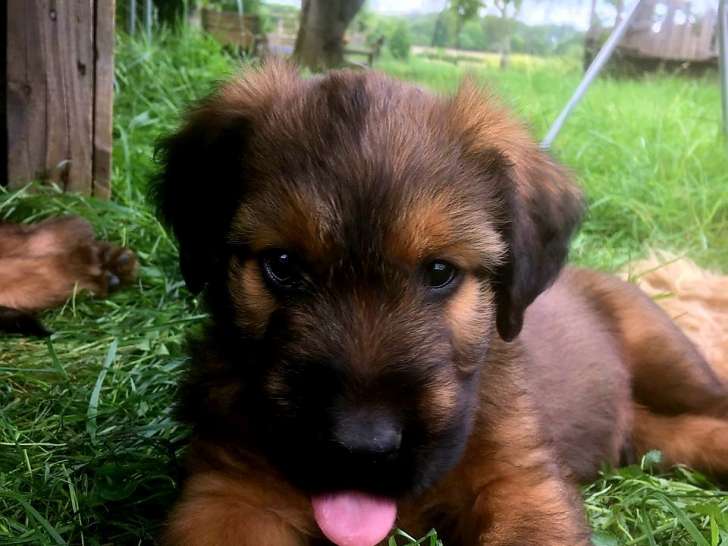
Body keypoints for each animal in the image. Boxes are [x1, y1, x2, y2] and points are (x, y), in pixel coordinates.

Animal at [154, 61, 728, 540]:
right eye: (283, 264)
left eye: (439, 271)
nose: (361, 449)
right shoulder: (228, 493)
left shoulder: (521, 481)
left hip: (670, 362)